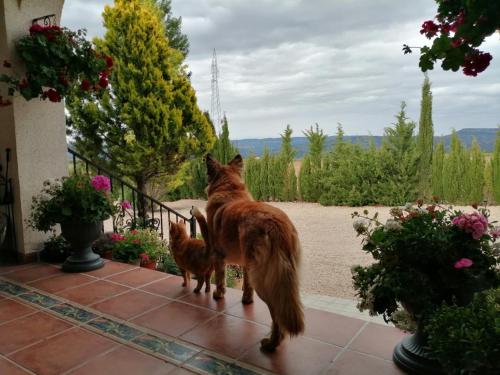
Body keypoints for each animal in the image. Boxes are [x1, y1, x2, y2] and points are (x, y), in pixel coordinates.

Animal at [204, 153, 304, 352]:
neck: (229, 188)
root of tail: (276, 225)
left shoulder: (218, 255)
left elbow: (219, 279)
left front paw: (218, 294)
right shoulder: (246, 263)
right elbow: (246, 284)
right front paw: (246, 300)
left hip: (265, 281)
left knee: (277, 314)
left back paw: (272, 343)